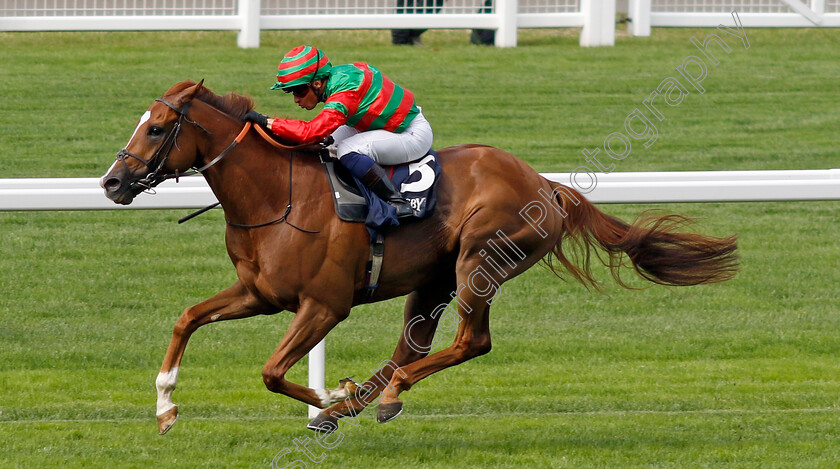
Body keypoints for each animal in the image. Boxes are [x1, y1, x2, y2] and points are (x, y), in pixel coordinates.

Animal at [101, 81, 740, 436]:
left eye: (157, 128)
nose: (111, 182)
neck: (276, 196)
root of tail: (546, 185)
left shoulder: (324, 305)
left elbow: (272, 371)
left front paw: (329, 400)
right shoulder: (260, 293)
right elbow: (187, 318)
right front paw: (165, 407)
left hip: (480, 260)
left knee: (468, 342)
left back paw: (375, 397)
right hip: (433, 279)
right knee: (412, 346)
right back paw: (369, 397)